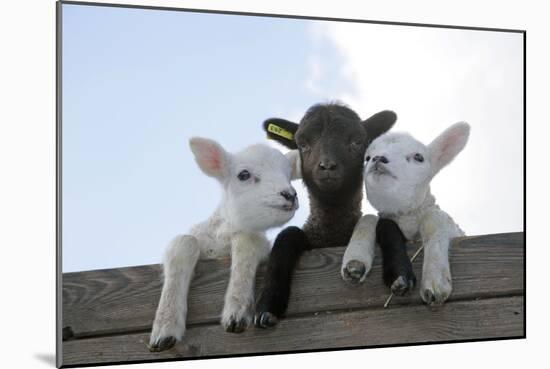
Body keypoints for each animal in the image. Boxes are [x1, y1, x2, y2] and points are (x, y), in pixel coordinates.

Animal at [149, 137, 300, 350]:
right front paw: (164, 328)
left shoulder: (253, 237)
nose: (289, 194)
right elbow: (183, 242)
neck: (222, 237)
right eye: (243, 175)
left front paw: (236, 311)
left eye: (288, 175)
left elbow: (247, 242)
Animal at [344, 122, 470, 304]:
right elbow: (368, 218)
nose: (378, 158)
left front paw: (435, 279)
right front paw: (355, 261)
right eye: (367, 158)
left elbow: (433, 219)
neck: (406, 216)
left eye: (419, 157)